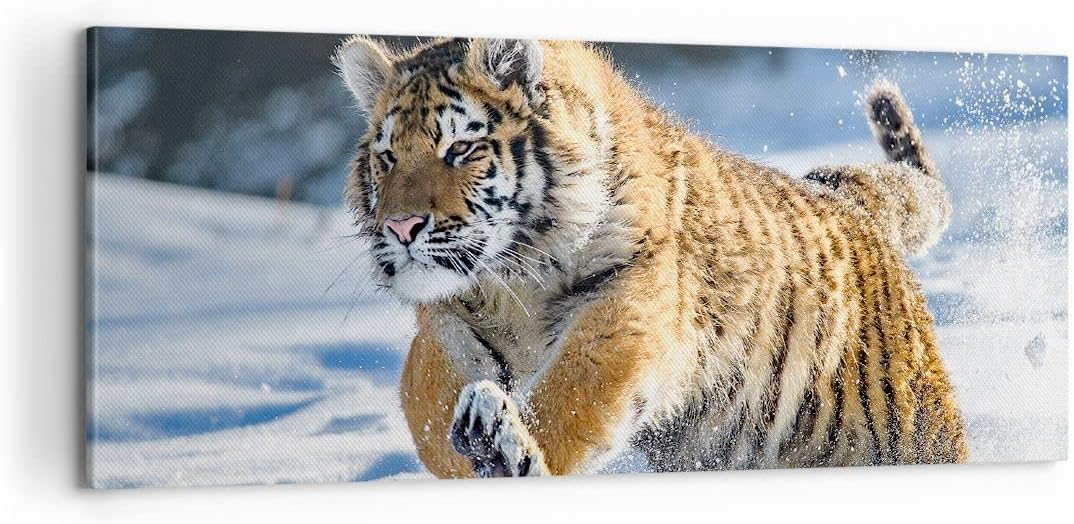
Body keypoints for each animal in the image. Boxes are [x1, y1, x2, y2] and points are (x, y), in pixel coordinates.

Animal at [333, 36, 967, 478]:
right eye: (388, 158)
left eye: (460, 148)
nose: (401, 226)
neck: (514, 276)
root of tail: (848, 199)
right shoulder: (442, 323)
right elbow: (429, 408)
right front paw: (475, 449)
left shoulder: (627, 308)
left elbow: (570, 395)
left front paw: (511, 451)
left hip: (917, 433)